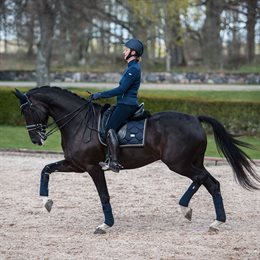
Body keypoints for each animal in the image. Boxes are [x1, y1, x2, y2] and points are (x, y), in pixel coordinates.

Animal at [14, 86, 260, 234]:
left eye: (27, 111)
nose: (36, 139)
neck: (79, 121)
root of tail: (194, 118)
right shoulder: (76, 165)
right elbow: (46, 169)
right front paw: (46, 202)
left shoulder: (93, 167)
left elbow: (103, 195)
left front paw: (105, 224)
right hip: (193, 161)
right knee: (212, 183)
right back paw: (216, 222)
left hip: (178, 163)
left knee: (199, 179)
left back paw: (185, 208)